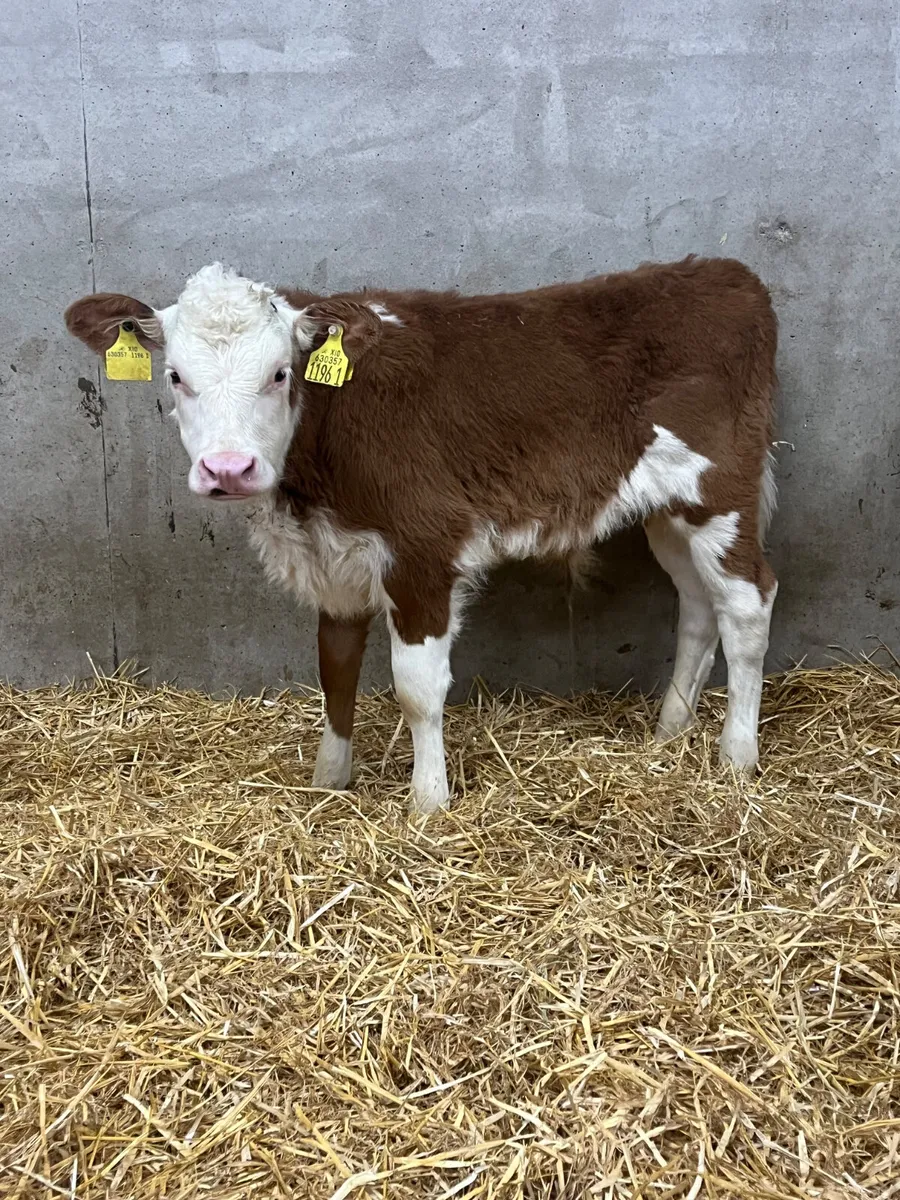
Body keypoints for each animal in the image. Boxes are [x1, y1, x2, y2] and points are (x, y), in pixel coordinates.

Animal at [65, 256, 778, 814]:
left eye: (279, 373)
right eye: (176, 377)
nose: (228, 469)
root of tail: (726, 272)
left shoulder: (422, 548)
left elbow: (416, 687)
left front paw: (428, 802)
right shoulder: (334, 562)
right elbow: (335, 667)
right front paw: (329, 781)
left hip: (721, 492)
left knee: (748, 604)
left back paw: (736, 755)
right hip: (668, 509)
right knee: (698, 606)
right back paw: (670, 732)